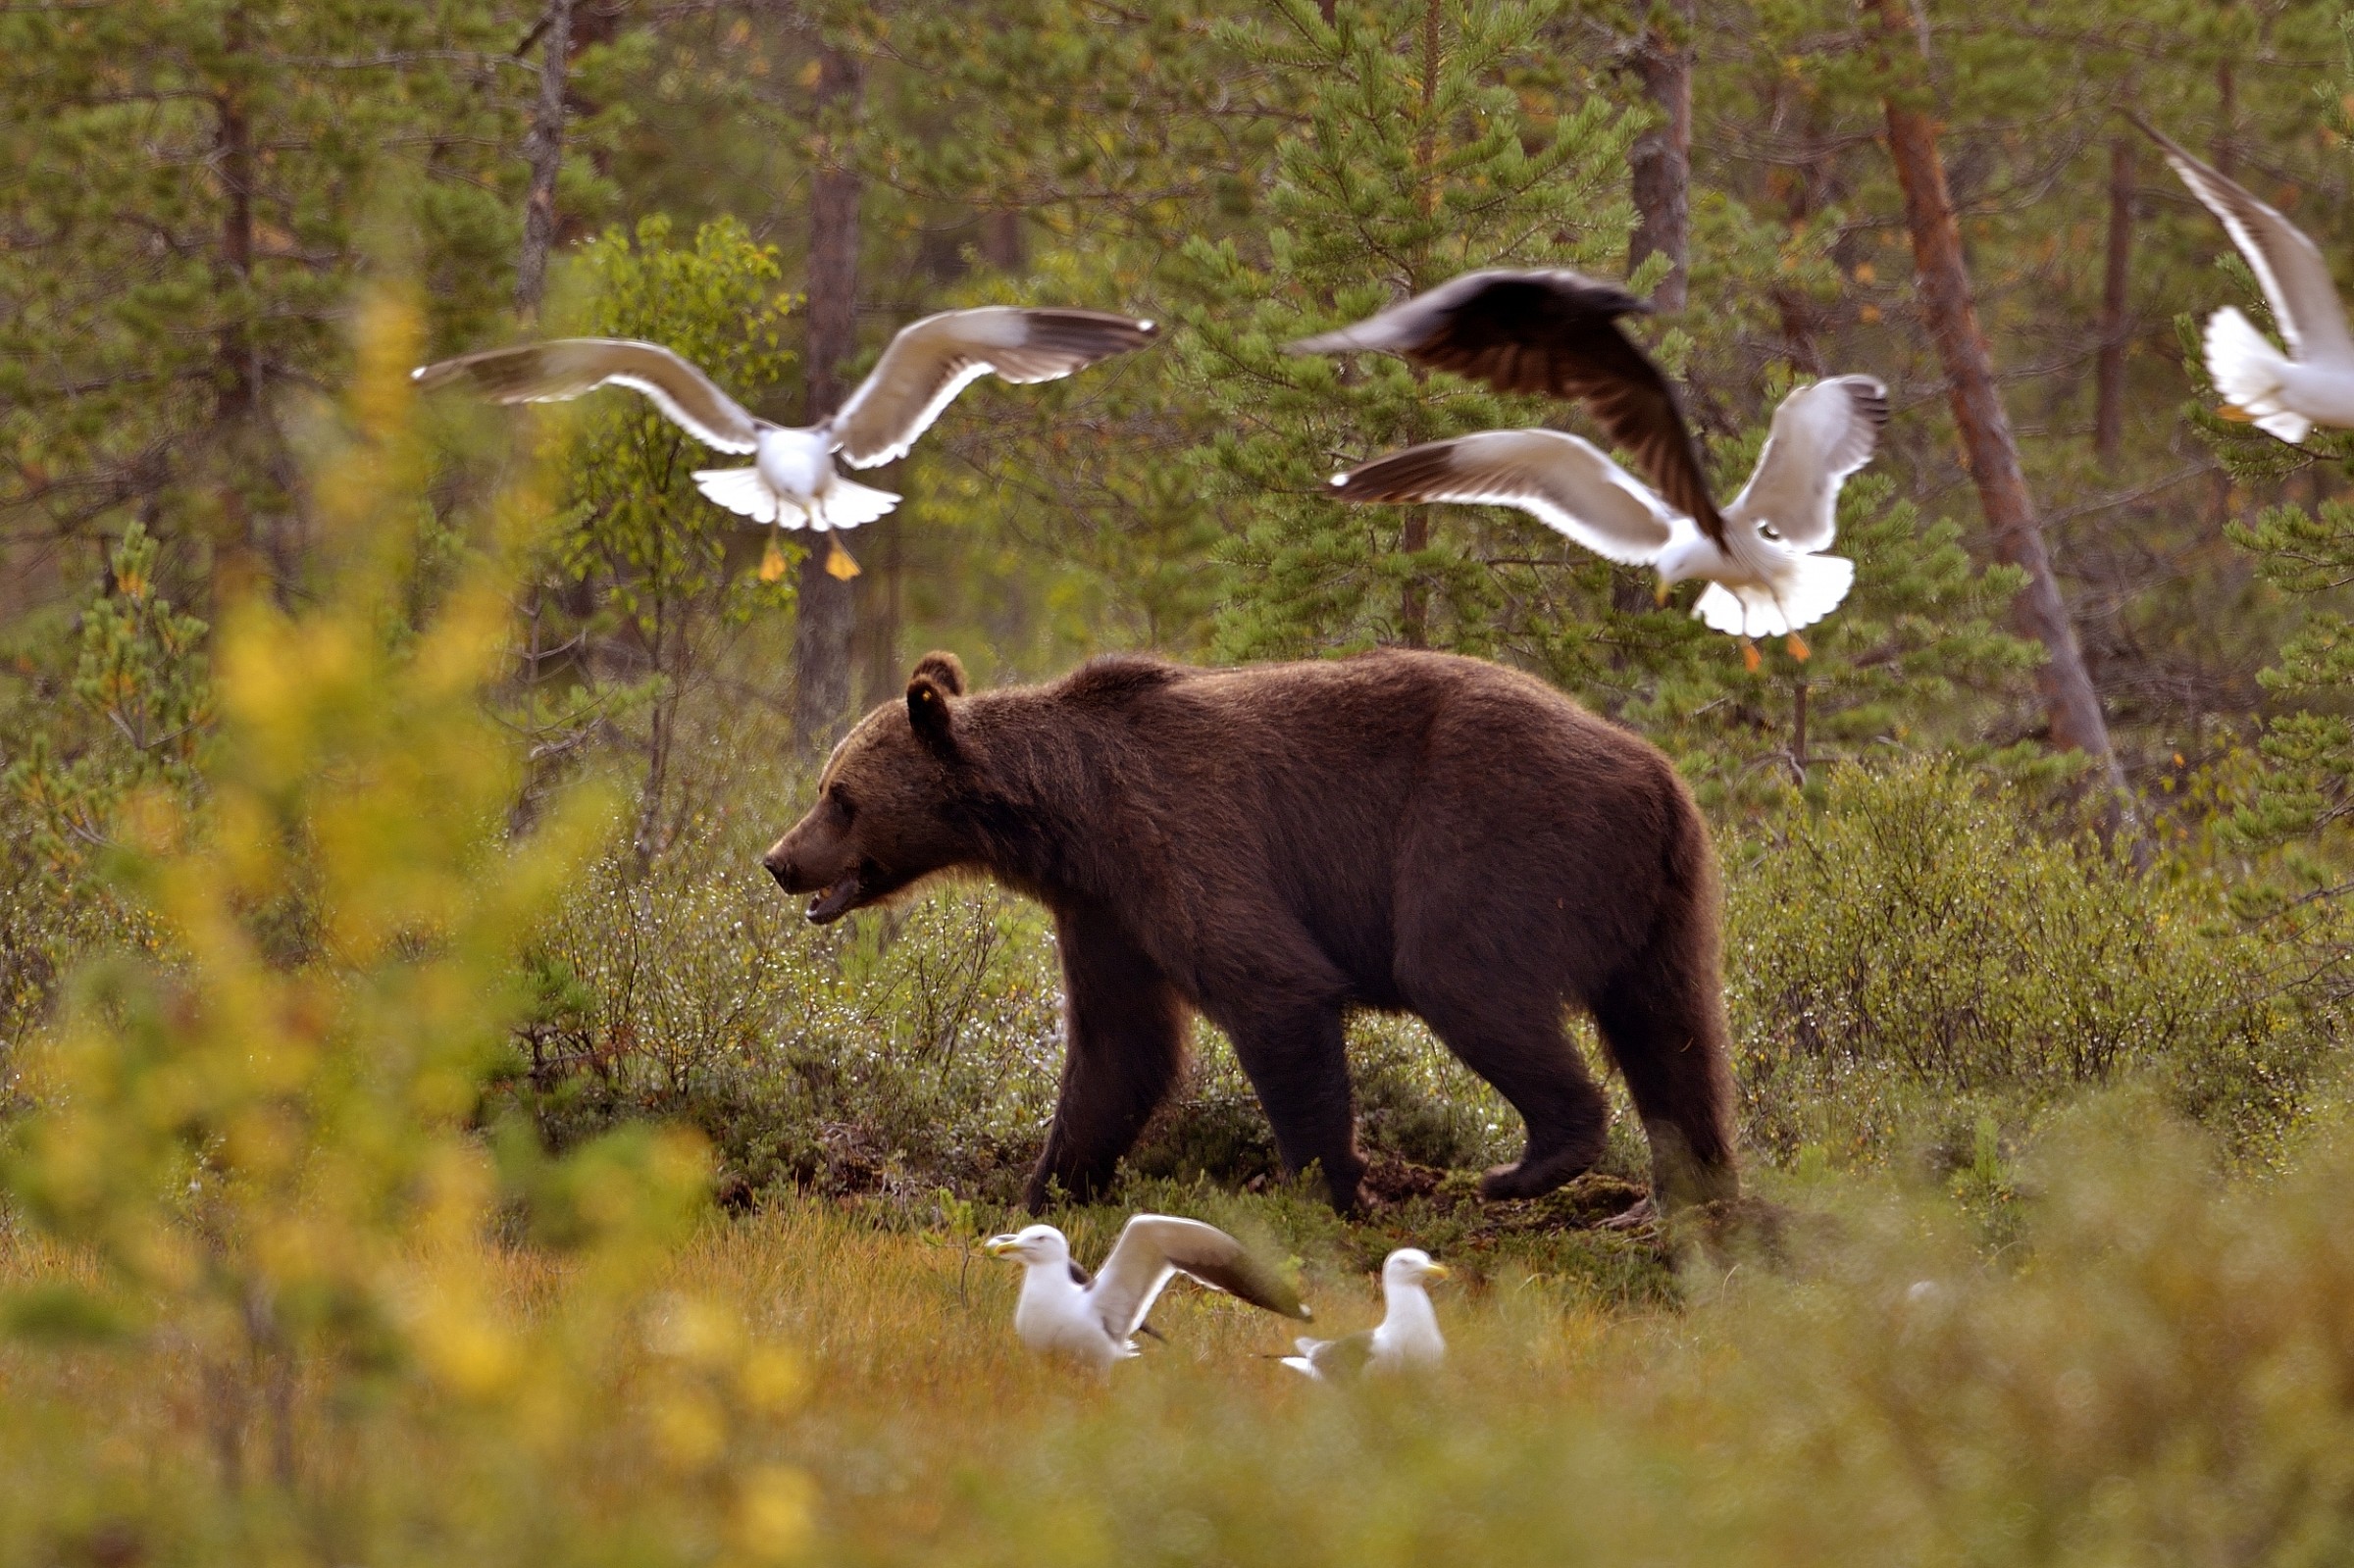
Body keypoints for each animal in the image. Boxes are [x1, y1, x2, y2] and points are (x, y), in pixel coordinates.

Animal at [763, 647, 1738, 1215]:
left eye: (840, 796)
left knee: (1462, 975)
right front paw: (1042, 1189)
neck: (1069, 820)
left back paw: (1532, 1163)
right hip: (1662, 897)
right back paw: (1684, 1195)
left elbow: (1273, 988)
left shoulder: (1184, 837)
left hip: (1494, 831)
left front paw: (1326, 1190)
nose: (779, 861)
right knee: (1675, 1031)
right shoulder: (1108, 909)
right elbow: (1118, 1049)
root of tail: (1654, 772)